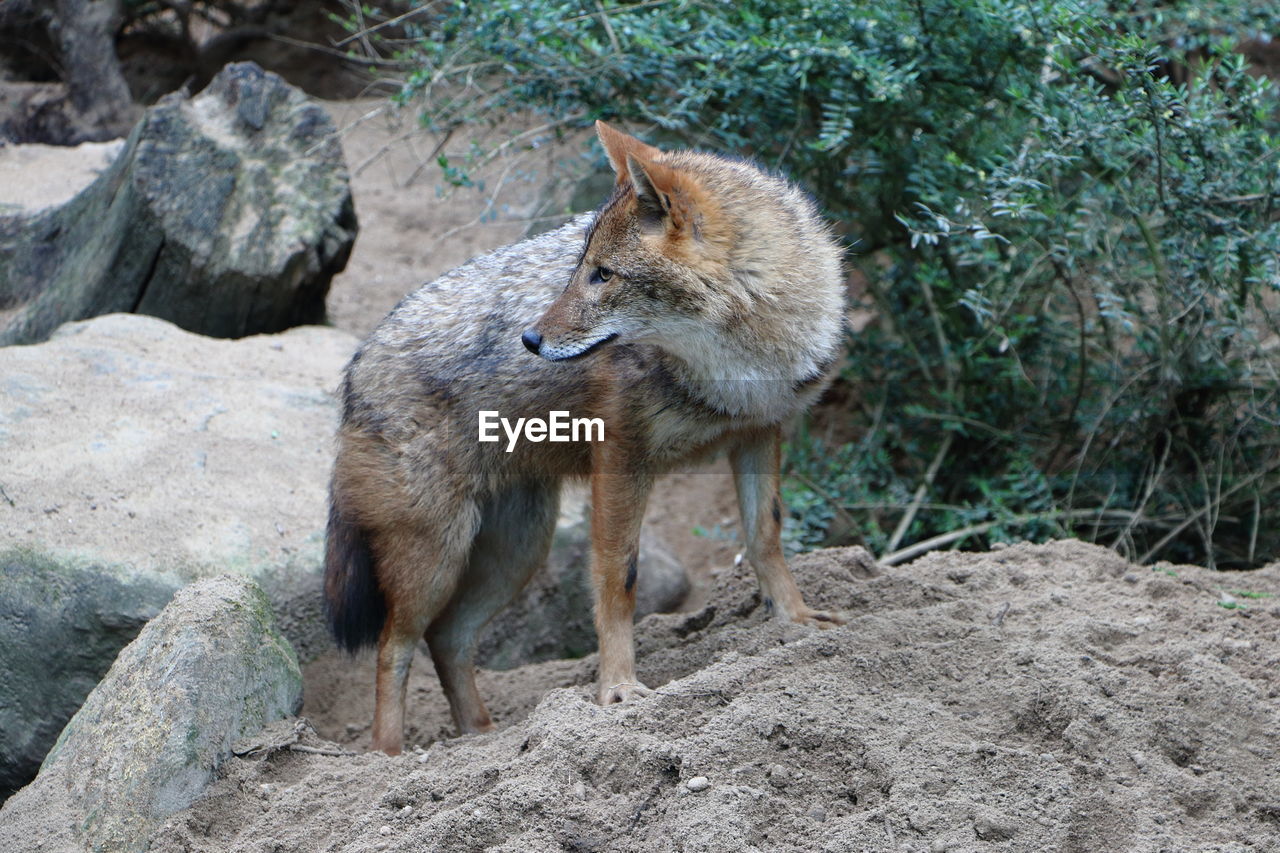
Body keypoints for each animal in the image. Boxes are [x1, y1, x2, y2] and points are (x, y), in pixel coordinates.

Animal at [325, 119, 849, 753]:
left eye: (603, 274)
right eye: (581, 267)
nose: (529, 339)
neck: (742, 361)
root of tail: (355, 368)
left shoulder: (758, 432)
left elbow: (766, 536)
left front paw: (796, 620)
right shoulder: (621, 456)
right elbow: (617, 579)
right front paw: (618, 689)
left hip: (517, 551)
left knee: (447, 640)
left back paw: (482, 738)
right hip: (437, 560)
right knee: (392, 647)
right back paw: (391, 758)